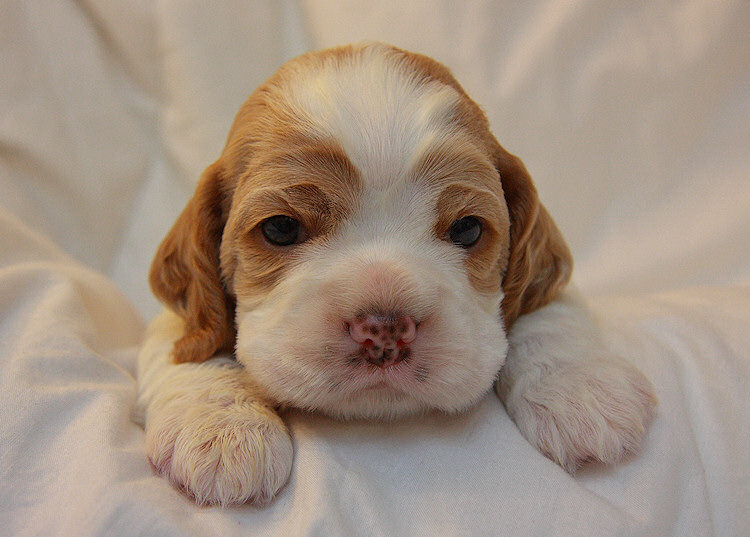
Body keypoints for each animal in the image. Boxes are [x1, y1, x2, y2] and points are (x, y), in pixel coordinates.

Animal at [135, 43, 656, 506]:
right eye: (280, 227)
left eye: (468, 228)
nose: (383, 329)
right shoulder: (178, 317)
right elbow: (192, 345)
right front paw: (220, 428)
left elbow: (546, 313)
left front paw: (582, 389)